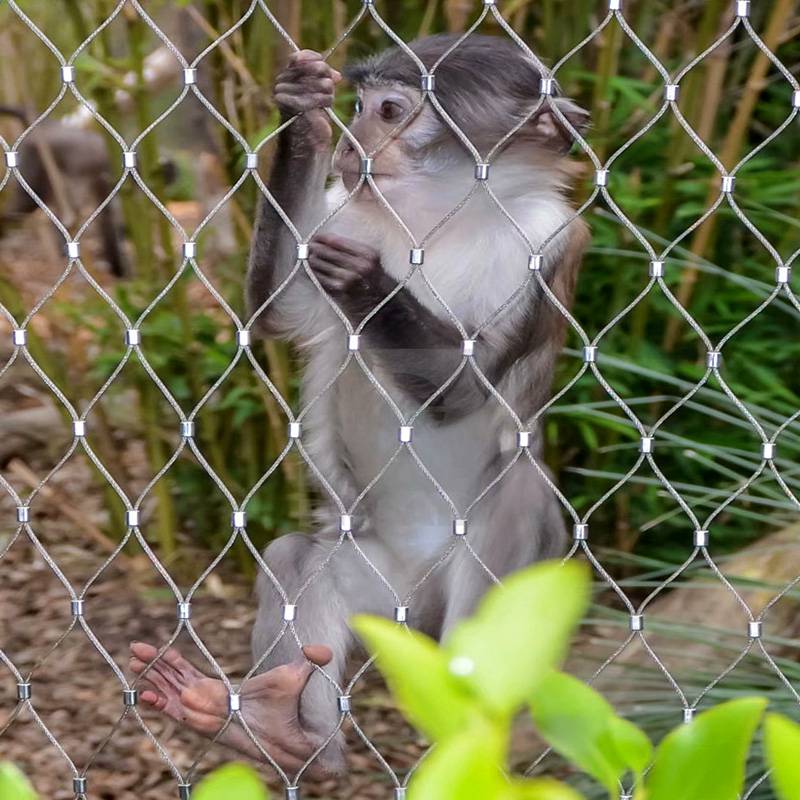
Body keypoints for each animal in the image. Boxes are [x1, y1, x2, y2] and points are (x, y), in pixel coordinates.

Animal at [130, 34, 588, 780]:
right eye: (360, 106)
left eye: (393, 112)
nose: (352, 139)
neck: (440, 219)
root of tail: (417, 615)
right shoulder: (347, 209)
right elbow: (277, 312)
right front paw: (301, 121)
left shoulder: (550, 244)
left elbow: (464, 392)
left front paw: (368, 284)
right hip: (377, 587)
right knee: (296, 557)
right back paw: (288, 735)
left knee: (516, 488)